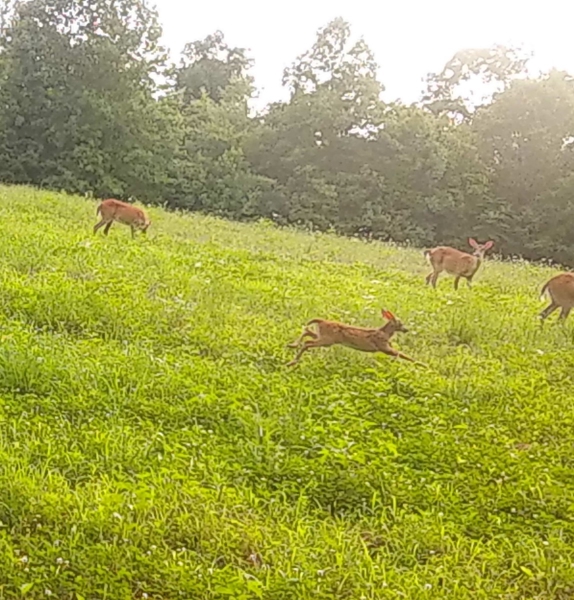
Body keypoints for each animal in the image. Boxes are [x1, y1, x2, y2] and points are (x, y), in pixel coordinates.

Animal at [286, 309, 426, 367]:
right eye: (400, 323)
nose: (406, 329)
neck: (385, 333)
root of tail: (321, 321)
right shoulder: (383, 347)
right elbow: (402, 354)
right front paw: (423, 365)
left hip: (324, 337)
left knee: (307, 332)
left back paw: (291, 346)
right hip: (327, 339)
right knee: (307, 342)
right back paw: (291, 362)